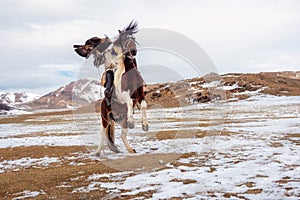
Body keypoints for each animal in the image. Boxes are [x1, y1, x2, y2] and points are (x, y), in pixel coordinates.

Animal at [95, 22, 148, 156]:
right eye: (124, 40)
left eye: (133, 38)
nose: (133, 51)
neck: (129, 75)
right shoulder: (123, 95)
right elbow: (129, 102)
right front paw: (132, 121)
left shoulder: (140, 94)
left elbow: (143, 105)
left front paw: (145, 125)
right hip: (105, 119)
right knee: (102, 132)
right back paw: (97, 152)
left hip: (120, 120)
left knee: (122, 136)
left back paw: (131, 150)